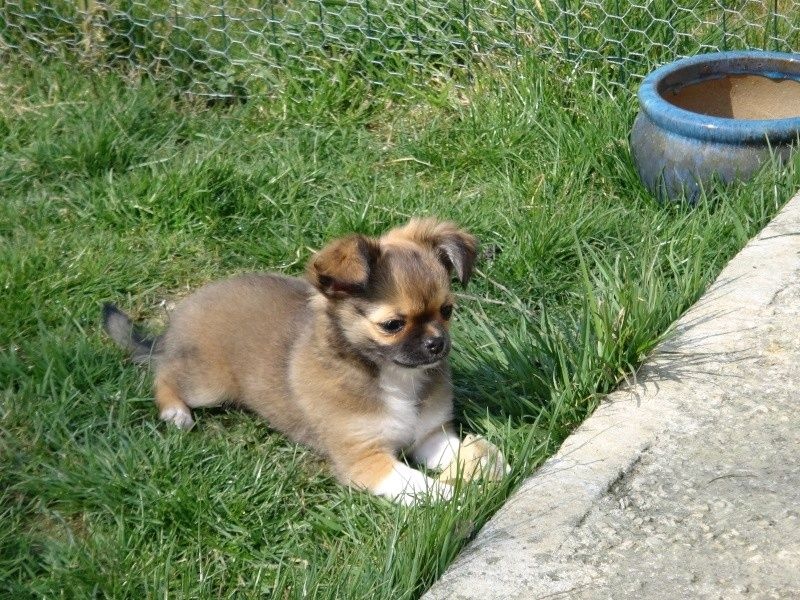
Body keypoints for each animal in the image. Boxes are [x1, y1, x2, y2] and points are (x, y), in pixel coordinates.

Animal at [103, 218, 505, 504]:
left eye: (447, 311)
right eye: (392, 325)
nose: (438, 344)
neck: (391, 376)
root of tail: (181, 317)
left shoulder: (428, 436)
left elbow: (457, 451)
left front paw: (487, 462)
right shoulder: (365, 459)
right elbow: (418, 485)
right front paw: (452, 497)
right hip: (208, 385)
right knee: (164, 371)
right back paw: (175, 412)